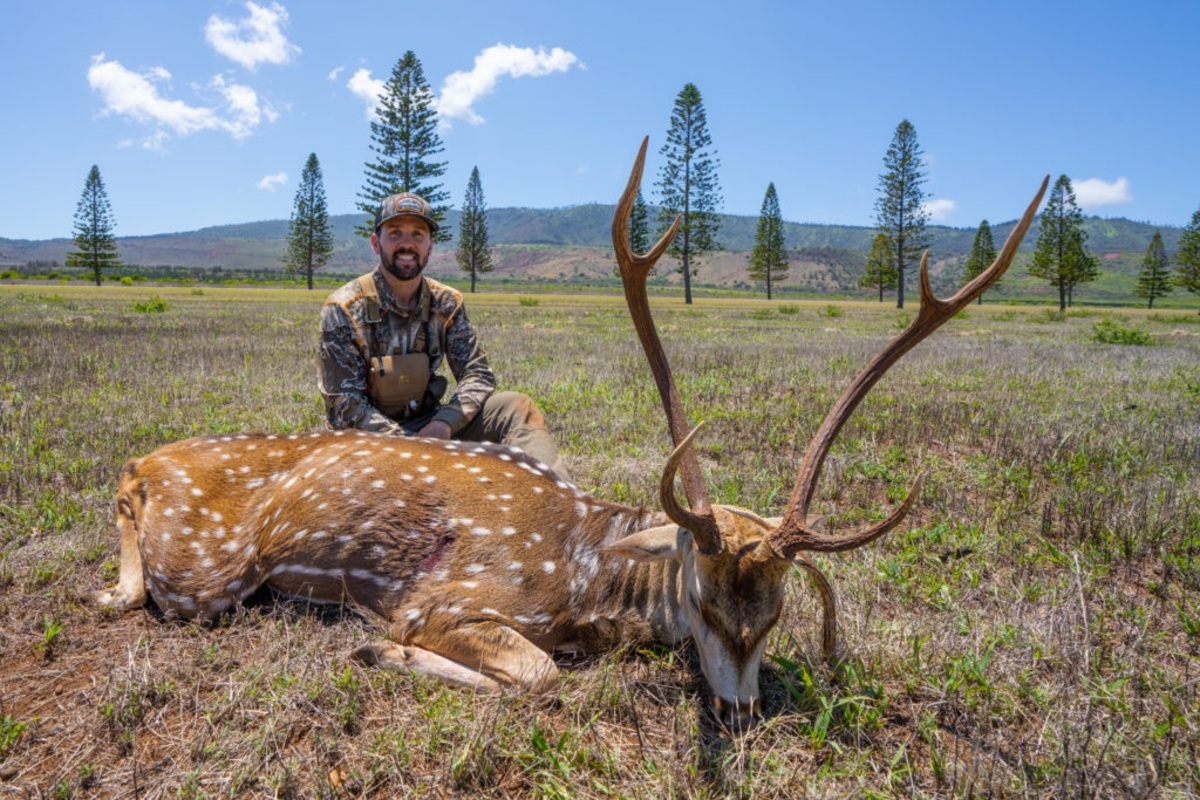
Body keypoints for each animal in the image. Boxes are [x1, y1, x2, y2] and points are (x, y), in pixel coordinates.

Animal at [93, 139, 1046, 734]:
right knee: (138, 548)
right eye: (702, 600)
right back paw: (112, 585)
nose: (738, 716)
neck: (583, 582)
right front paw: (376, 646)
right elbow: (539, 674)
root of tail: (158, 457)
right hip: (206, 569)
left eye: (776, 613)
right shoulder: (443, 599)